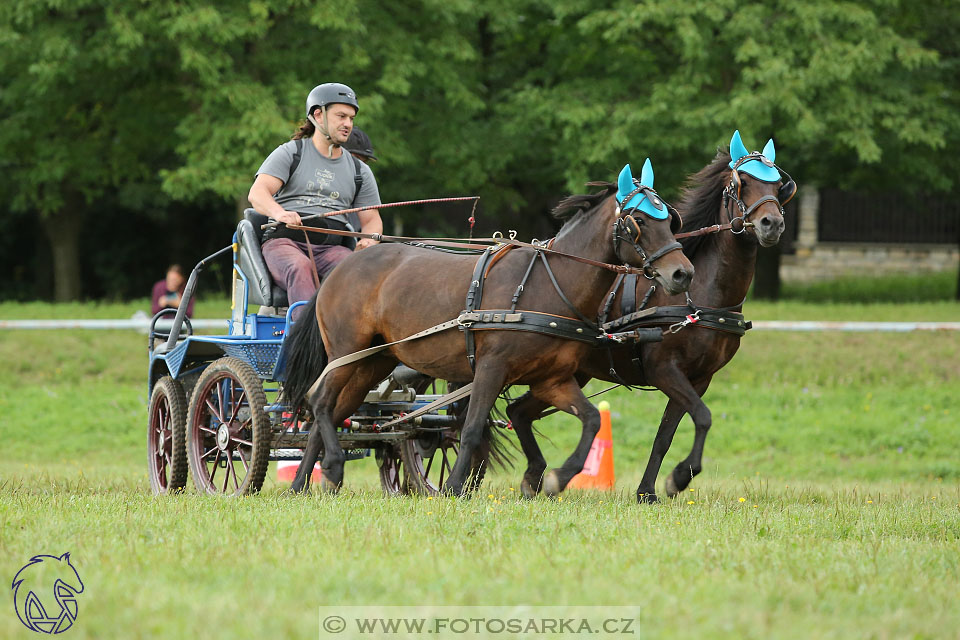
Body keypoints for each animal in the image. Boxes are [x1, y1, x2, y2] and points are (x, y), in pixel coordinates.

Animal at [282, 160, 692, 496]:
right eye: (639, 221)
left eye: (670, 219)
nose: (682, 273)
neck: (550, 283)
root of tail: (341, 268)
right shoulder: (492, 368)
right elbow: (472, 427)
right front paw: (453, 486)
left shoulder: (553, 380)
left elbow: (591, 419)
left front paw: (558, 477)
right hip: (347, 352)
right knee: (320, 402)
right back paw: (331, 468)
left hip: (373, 361)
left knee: (330, 413)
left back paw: (303, 483)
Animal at [506, 131, 792, 500]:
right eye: (740, 182)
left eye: (779, 186)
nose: (772, 224)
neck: (702, 293)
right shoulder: (664, 368)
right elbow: (703, 416)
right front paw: (679, 477)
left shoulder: (699, 378)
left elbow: (667, 435)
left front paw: (648, 490)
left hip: (567, 373)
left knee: (517, 412)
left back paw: (532, 479)